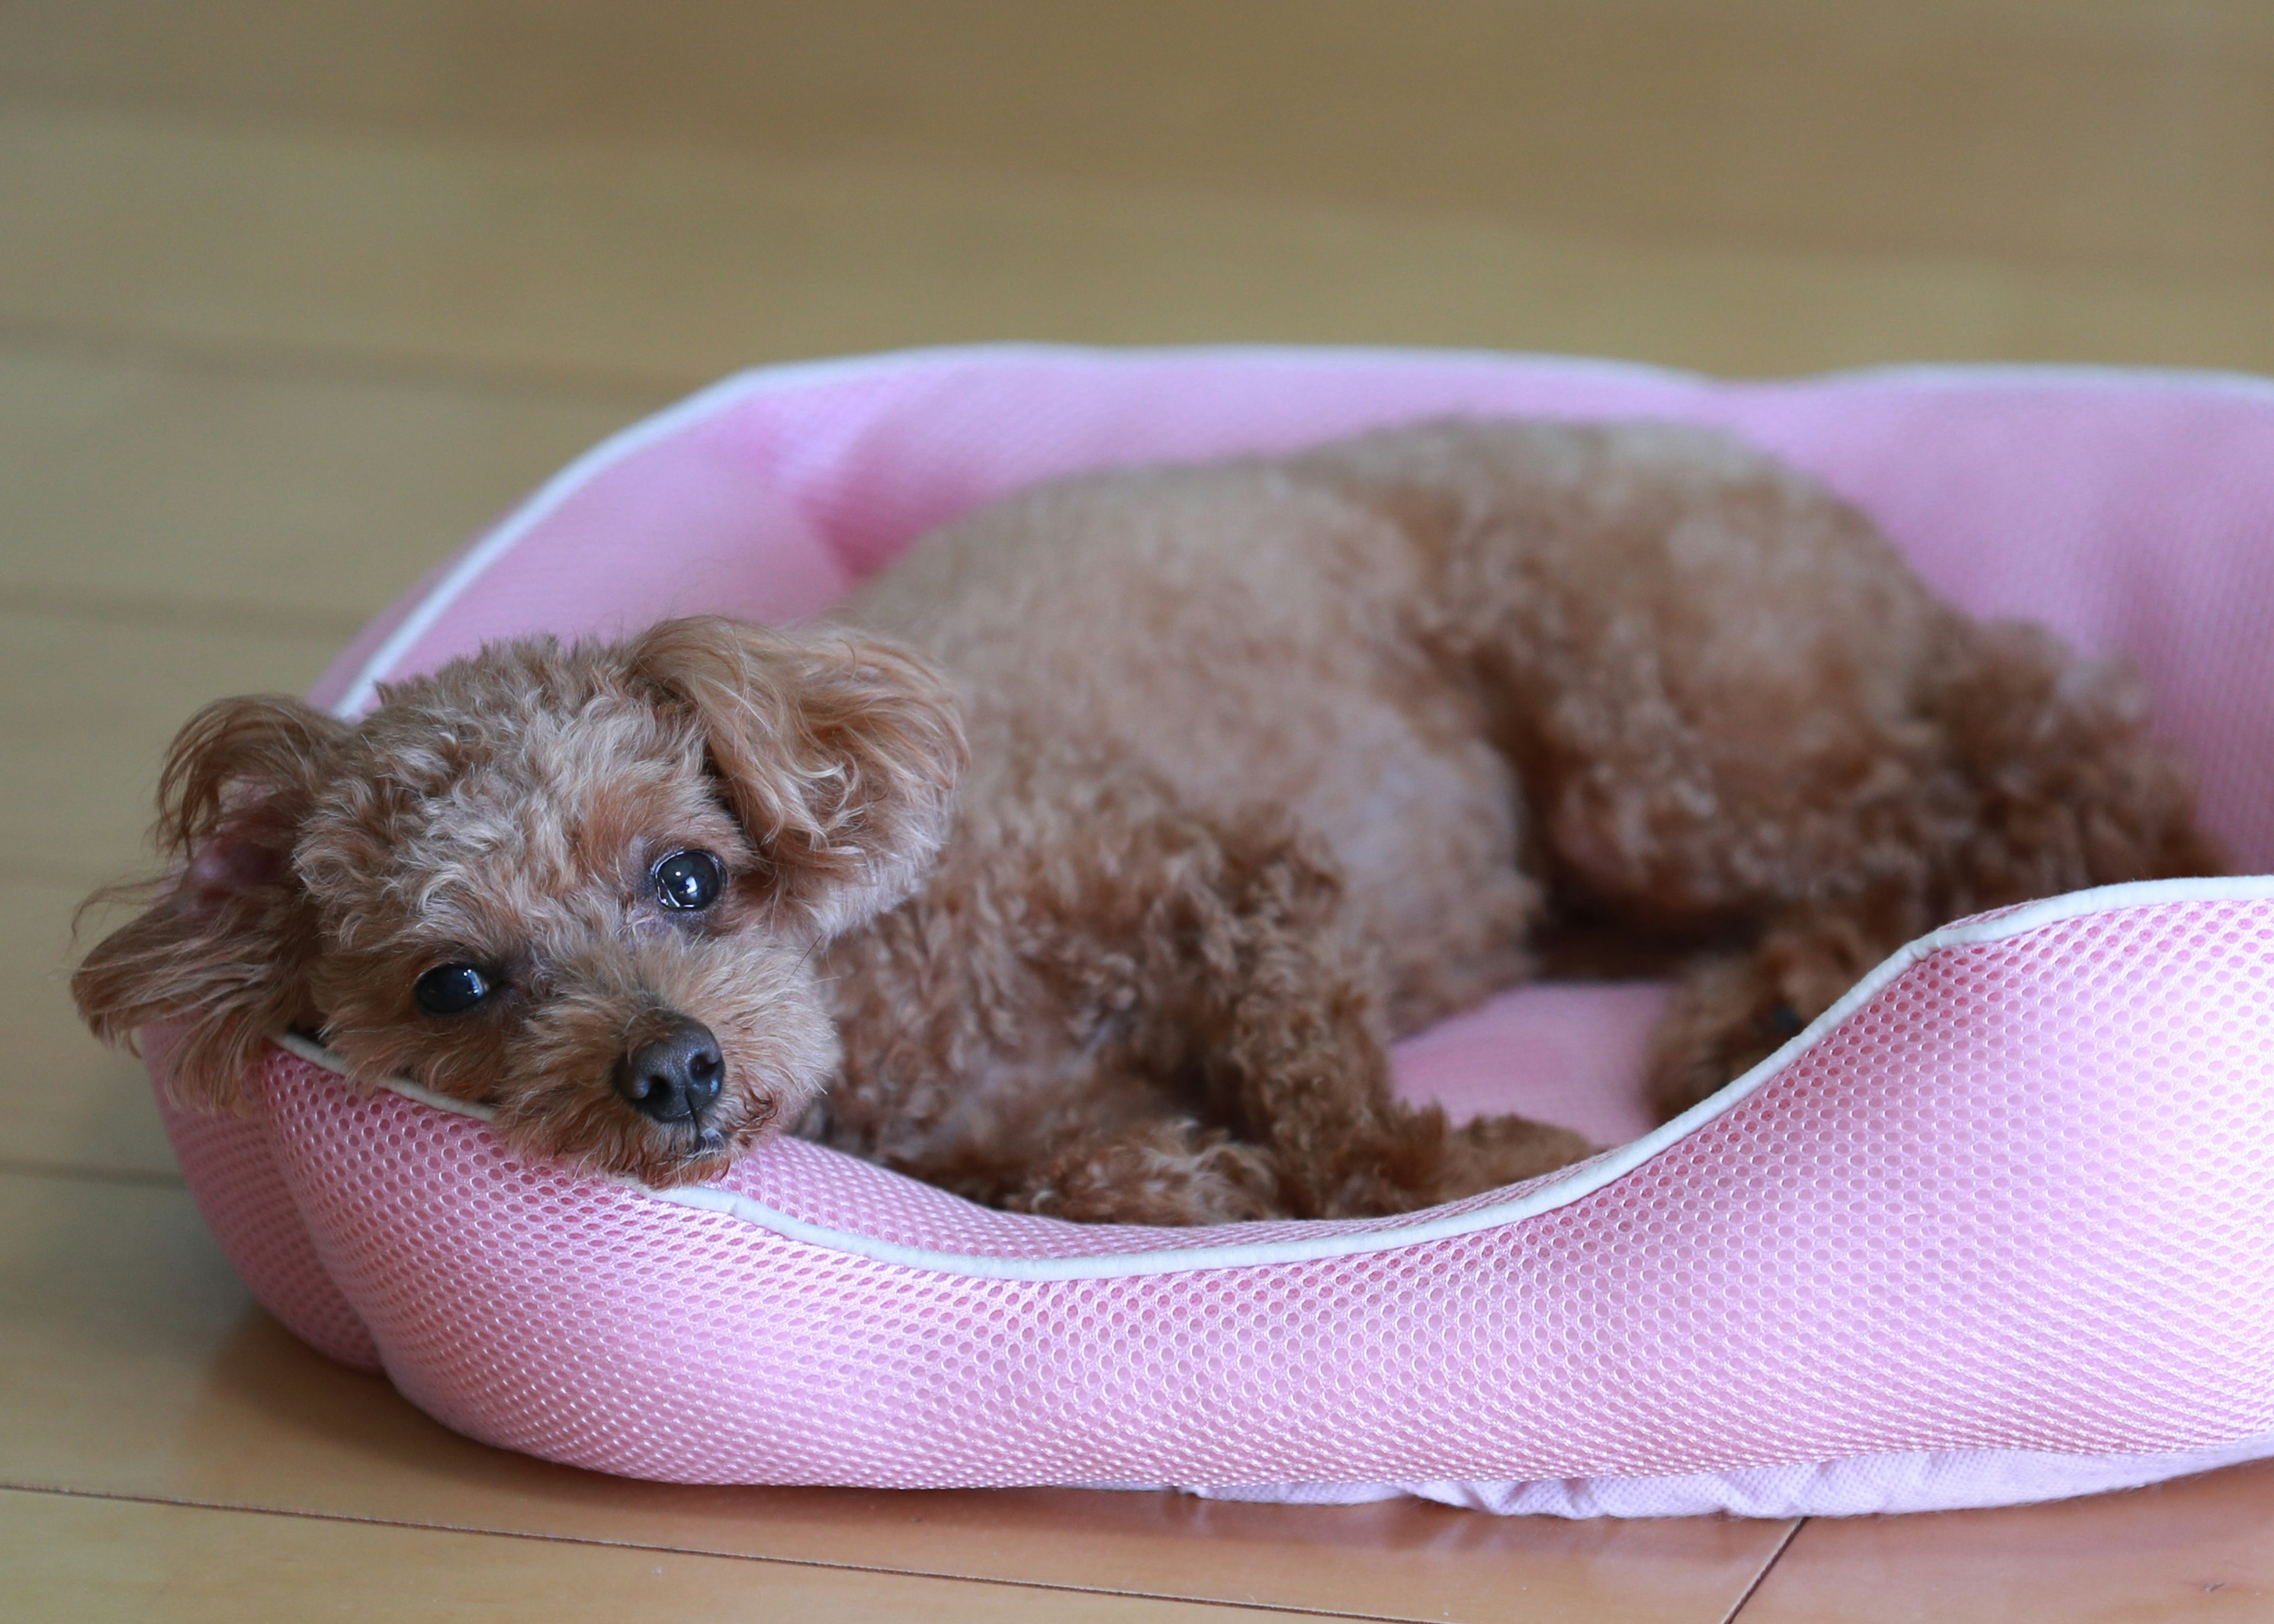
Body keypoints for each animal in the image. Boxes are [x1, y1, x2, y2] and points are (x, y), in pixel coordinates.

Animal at [75, 418, 2219, 1219]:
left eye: (691, 870)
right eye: (454, 988)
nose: (674, 1071)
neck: (905, 980)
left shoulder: (1233, 872)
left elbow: (1330, 1111)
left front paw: (1438, 1164)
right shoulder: (1036, 1124)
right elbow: (1127, 1175)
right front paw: (1202, 1179)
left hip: (1671, 743)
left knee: (2022, 801)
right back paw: (1752, 1005)